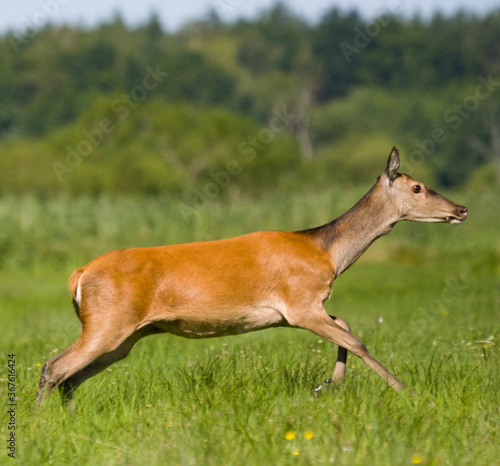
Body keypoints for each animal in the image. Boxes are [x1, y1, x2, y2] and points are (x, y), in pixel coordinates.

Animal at [37, 147, 466, 404]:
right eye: (417, 187)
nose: (461, 209)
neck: (325, 252)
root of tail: (79, 275)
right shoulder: (300, 303)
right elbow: (357, 340)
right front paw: (406, 391)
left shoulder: (303, 308)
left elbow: (344, 325)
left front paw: (328, 383)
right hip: (109, 320)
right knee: (54, 367)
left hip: (126, 334)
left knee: (70, 376)